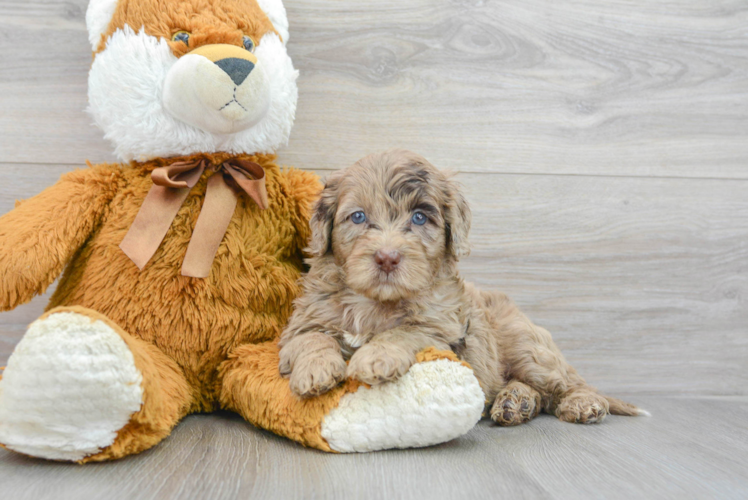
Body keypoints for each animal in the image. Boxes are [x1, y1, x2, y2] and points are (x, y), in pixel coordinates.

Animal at [278, 149, 644, 426]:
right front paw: (315, 371)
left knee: (567, 382)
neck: (375, 302)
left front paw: (375, 358)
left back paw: (581, 404)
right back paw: (516, 402)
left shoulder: (442, 329)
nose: (387, 257)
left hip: (527, 346)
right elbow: (312, 338)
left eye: (420, 218)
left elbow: (404, 331)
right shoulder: (303, 320)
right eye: (357, 217)